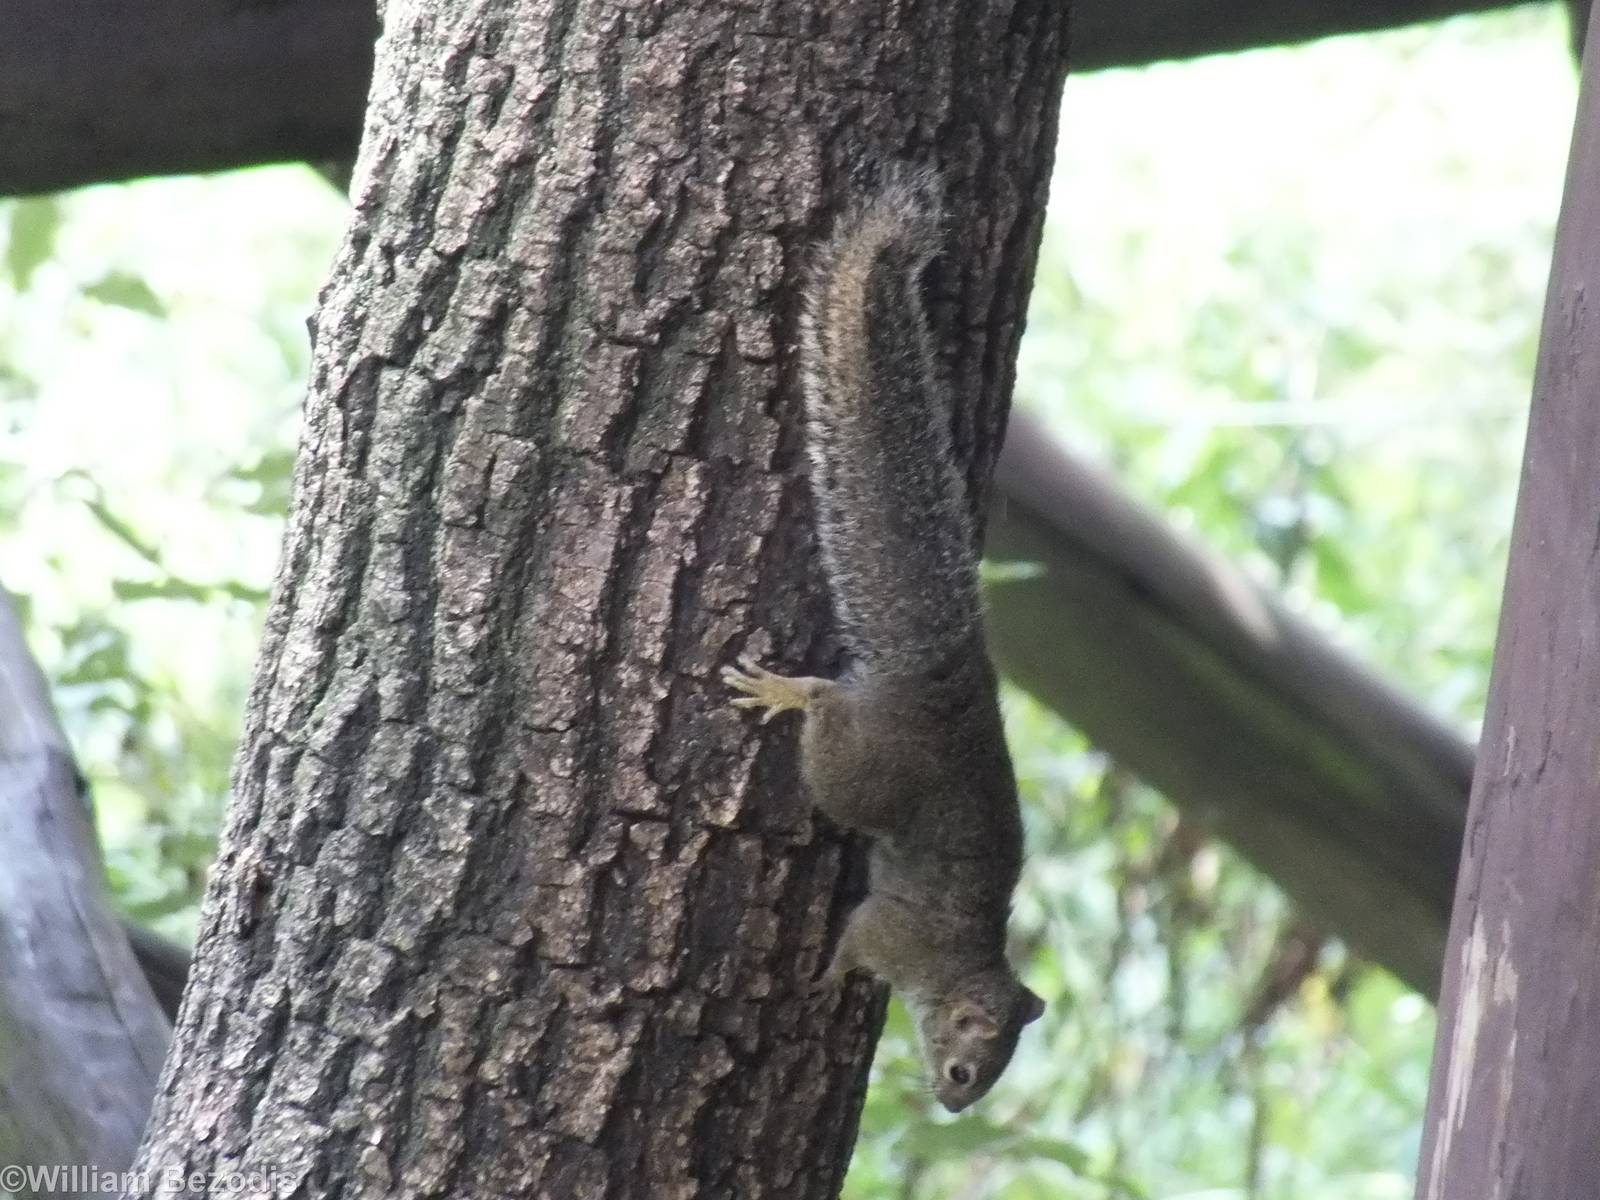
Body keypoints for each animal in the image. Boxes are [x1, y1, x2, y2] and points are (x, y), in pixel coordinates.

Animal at [723, 172, 1044, 1113]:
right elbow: (856, 940)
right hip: (861, 773)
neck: (954, 969)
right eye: (967, 1068)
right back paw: (788, 691)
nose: (951, 1103)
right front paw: (829, 982)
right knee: (829, 710)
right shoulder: (892, 933)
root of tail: (941, 680)